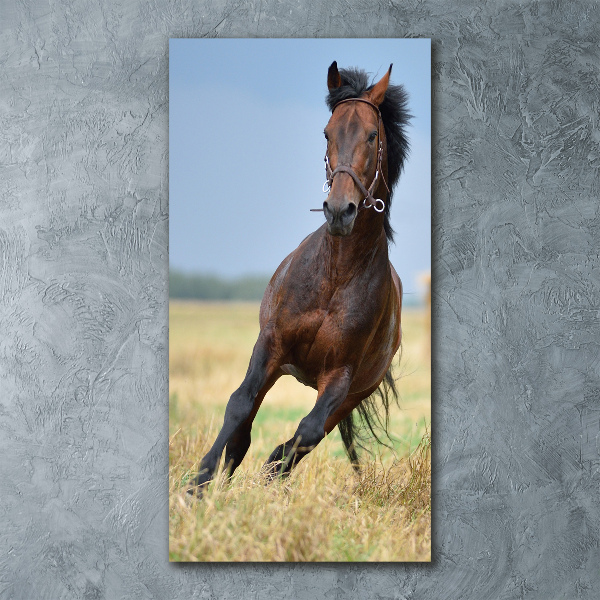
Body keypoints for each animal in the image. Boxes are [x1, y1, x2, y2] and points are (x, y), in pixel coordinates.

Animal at [190, 61, 410, 494]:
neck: (334, 276)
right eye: (327, 132)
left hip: (353, 393)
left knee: (308, 436)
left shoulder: (340, 376)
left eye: (372, 135)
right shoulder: (270, 344)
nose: (340, 210)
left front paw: (262, 479)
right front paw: (199, 483)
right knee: (246, 430)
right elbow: (239, 407)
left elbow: (304, 433)